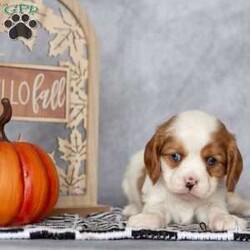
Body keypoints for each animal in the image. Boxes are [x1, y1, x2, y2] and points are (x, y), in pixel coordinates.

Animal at [122, 110, 250, 231]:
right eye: (175, 156)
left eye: (212, 160)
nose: (190, 182)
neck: (186, 200)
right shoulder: (158, 200)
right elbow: (156, 209)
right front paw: (147, 217)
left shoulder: (212, 202)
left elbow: (216, 209)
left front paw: (225, 218)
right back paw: (132, 208)